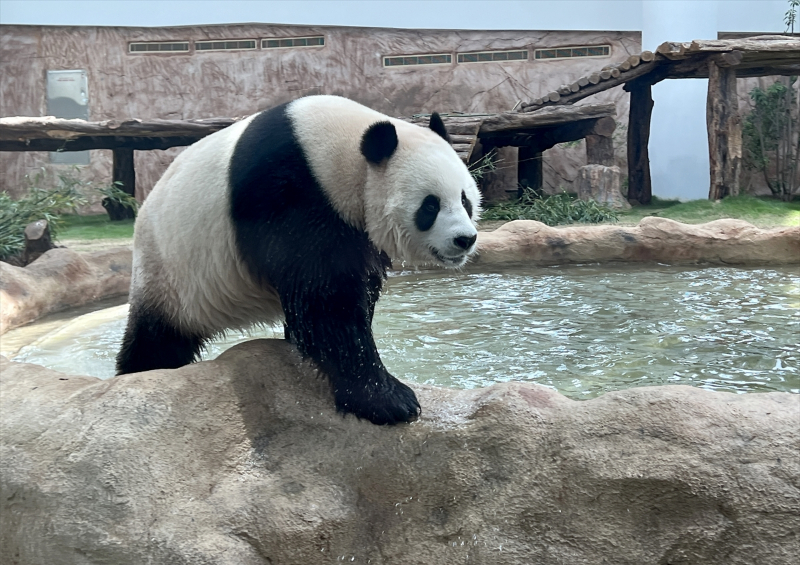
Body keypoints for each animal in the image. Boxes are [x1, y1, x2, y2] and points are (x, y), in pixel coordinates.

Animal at [116, 95, 481, 425]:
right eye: (430, 205)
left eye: (465, 199)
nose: (465, 239)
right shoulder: (289, 193)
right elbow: (326, 300)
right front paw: (389, 400)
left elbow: (353, 287)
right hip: (170, 271)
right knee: (156, 340)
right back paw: (137, 373)